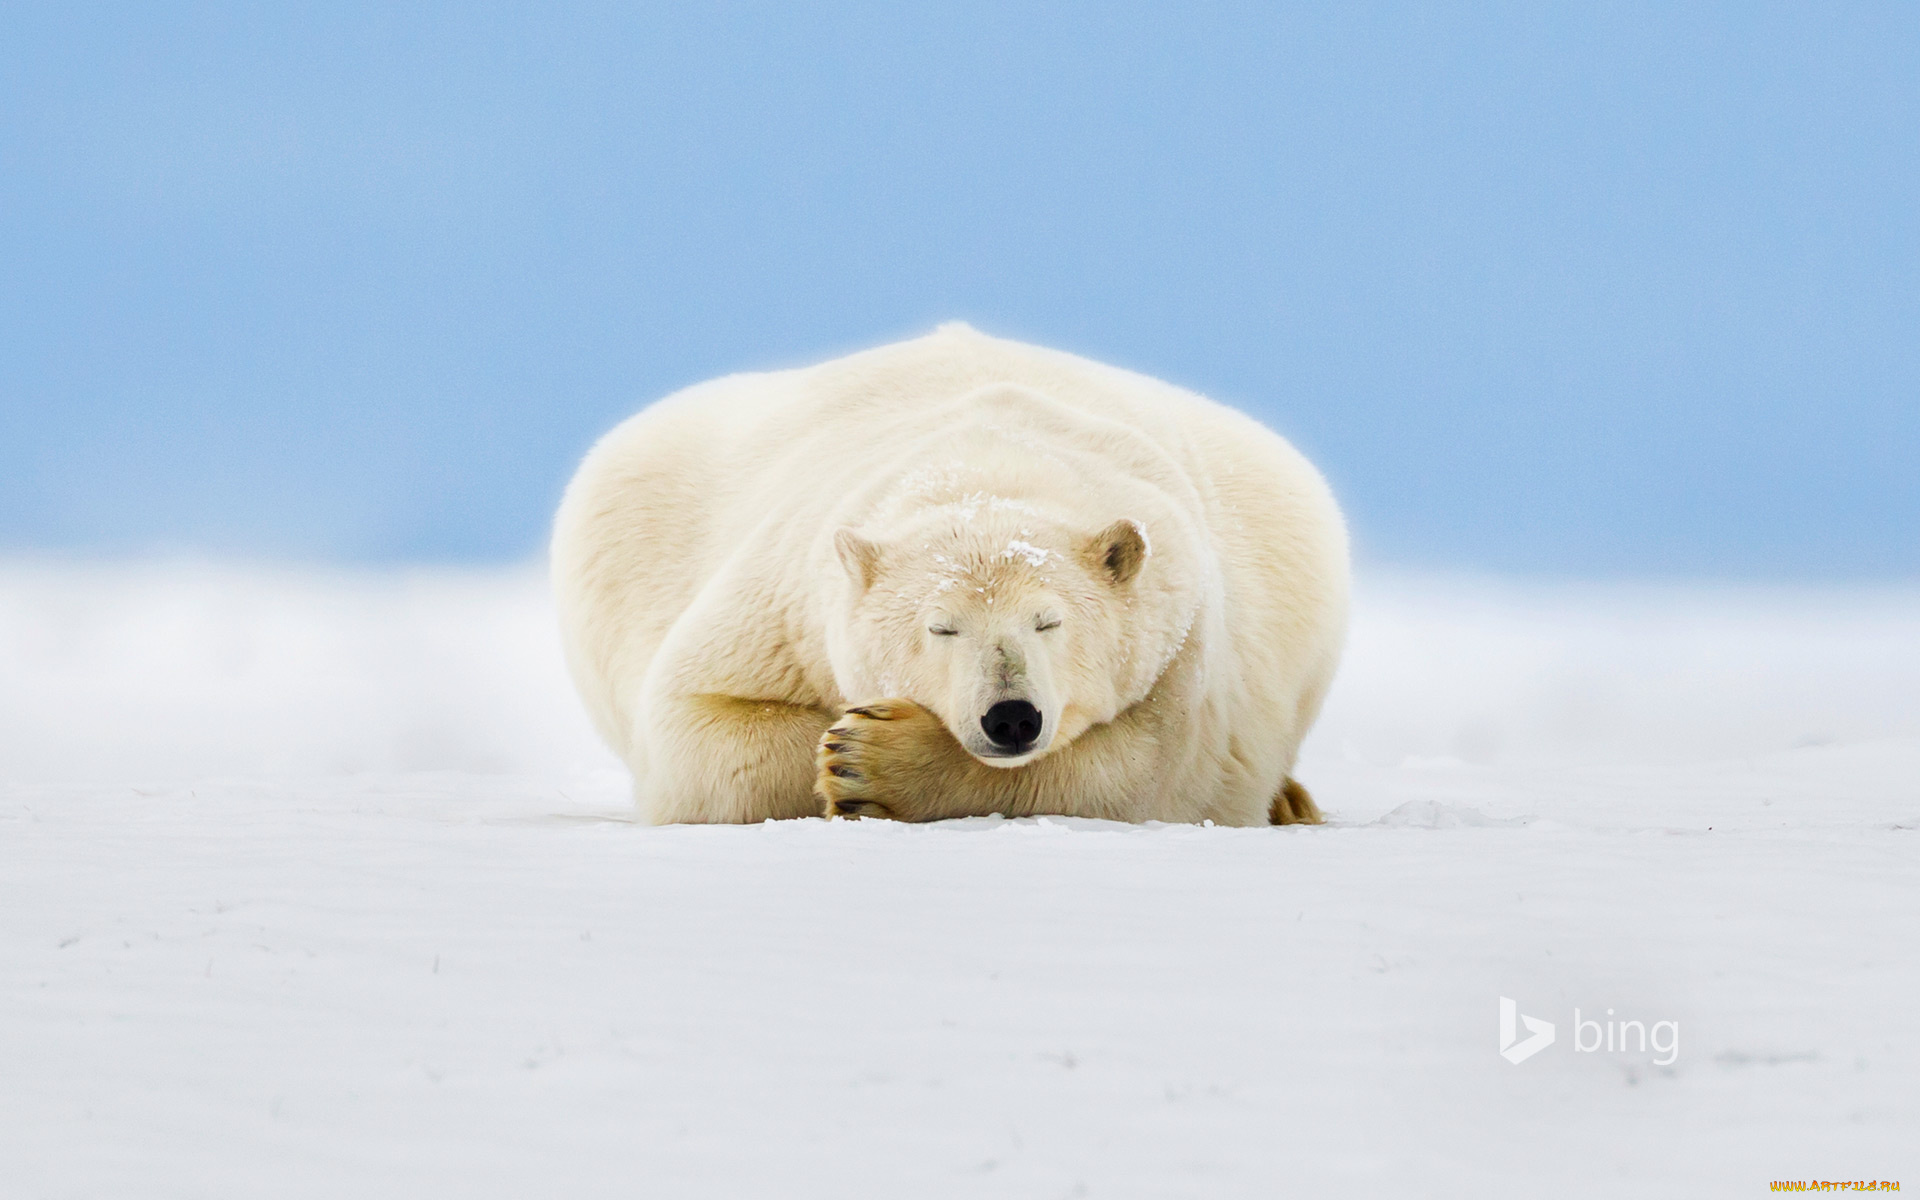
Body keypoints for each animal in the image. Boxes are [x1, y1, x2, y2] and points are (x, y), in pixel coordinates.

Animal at [549, 320, 1344, 821]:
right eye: (941, 628)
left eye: (1050, 622)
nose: (1011, 716)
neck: (989, 459)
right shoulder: (782, 607)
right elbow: (697, 728)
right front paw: (841, 747)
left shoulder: (1183, 637)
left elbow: (1149, 771)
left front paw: (874, 760)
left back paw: (1292, 801)